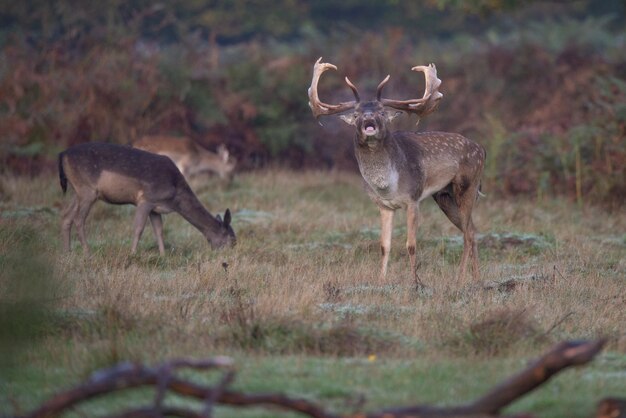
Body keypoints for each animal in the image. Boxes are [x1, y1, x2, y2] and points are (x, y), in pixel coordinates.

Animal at [58, 142, 235, 256]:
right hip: (87, 190)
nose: (231, 256)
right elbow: (138, 228)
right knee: (79, 219)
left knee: (66, 216)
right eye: (232, 240)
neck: (175, 196)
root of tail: (62, 154)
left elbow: (159, 231)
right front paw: (132, 254)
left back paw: (67, 253)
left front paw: (163, 256)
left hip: (77, 191)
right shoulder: (146, 199)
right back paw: (87, 253)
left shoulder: (156, 208)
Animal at [308, 57, 482, 284]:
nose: (369, 120)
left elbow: (411, 244)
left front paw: (415, 281)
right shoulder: (383, 206)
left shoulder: (413, 199)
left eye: (382, 112)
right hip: (444, 196)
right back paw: (477, 277)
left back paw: (460, 278)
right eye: (356, 114)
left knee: (467, 233)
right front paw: (381, 280)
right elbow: (384, 246)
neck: (388, 186)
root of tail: (482, 151)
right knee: (471, 229)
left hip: (467, 185)